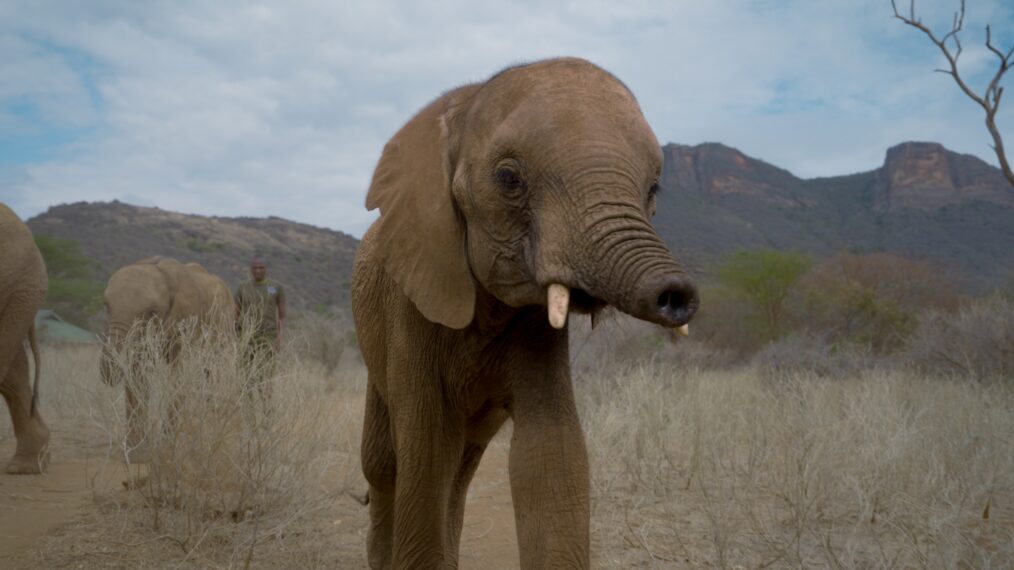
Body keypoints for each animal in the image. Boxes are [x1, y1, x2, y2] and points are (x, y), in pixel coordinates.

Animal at [99, 257, 233, 456]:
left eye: (151, 312)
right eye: (107, 307)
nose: (113, 374)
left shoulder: (186, 322)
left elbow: (177, 378)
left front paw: (166, 448)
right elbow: (137, 378)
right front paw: (135, 451)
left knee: (215, 370)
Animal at [351, 57, 699, 569]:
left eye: (654, 189)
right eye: (508, 179)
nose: (676, 294)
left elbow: (549, 455)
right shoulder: (411, 300)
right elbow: (426, 452)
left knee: (461, 470)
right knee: (384, 463)